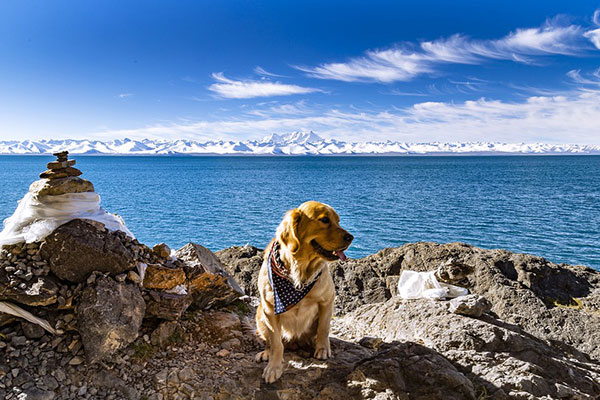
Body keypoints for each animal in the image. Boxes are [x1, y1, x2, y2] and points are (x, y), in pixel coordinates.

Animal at [255, 202, 354, 382]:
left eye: (338, 221)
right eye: (324, 220)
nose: (351, 237)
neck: (299, 270)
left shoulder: (327, 300)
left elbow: (324, 328)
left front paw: (323, 349)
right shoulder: (269, 309)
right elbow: (276, 342)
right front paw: (274, 367)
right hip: (260, 315)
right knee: (270, 341)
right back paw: (266, 352)